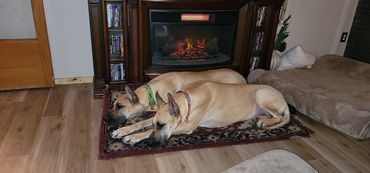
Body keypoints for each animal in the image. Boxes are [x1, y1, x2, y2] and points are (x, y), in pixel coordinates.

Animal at [108, 69, 246, 138]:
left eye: (120, 106)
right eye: (114, 105)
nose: (105, 119)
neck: (151, 92)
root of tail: (244, 78)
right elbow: (140, 122)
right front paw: (122, 130)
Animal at [114, 81, 290, 146]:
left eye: (162, 125)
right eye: (155, 123)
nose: (150, 143)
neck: (187, 100)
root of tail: (285, 100)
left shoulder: (187, 127)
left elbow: (147, 130)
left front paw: (133, 137)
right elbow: (142, 123)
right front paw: (122, 130)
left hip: (261, 94)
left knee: (280, 116)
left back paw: (265, 122)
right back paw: (263, 118)